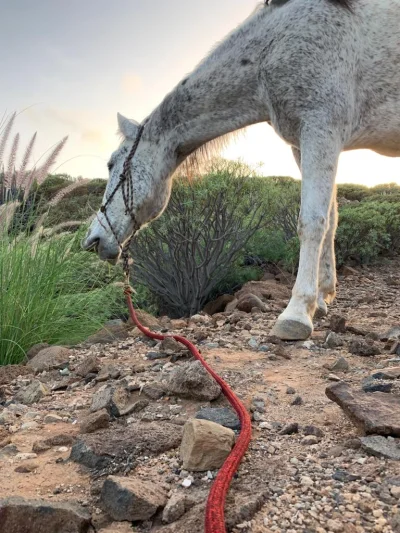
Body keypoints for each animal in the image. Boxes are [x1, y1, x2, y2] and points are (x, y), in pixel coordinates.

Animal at [82, 0, 400, 340]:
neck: (272, 50)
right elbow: (331, 220)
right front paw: (323, 297)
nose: (93, 240)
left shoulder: (321, 129)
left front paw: (298, 313)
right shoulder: (303, 144)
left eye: (112, 163)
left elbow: (312, 222)